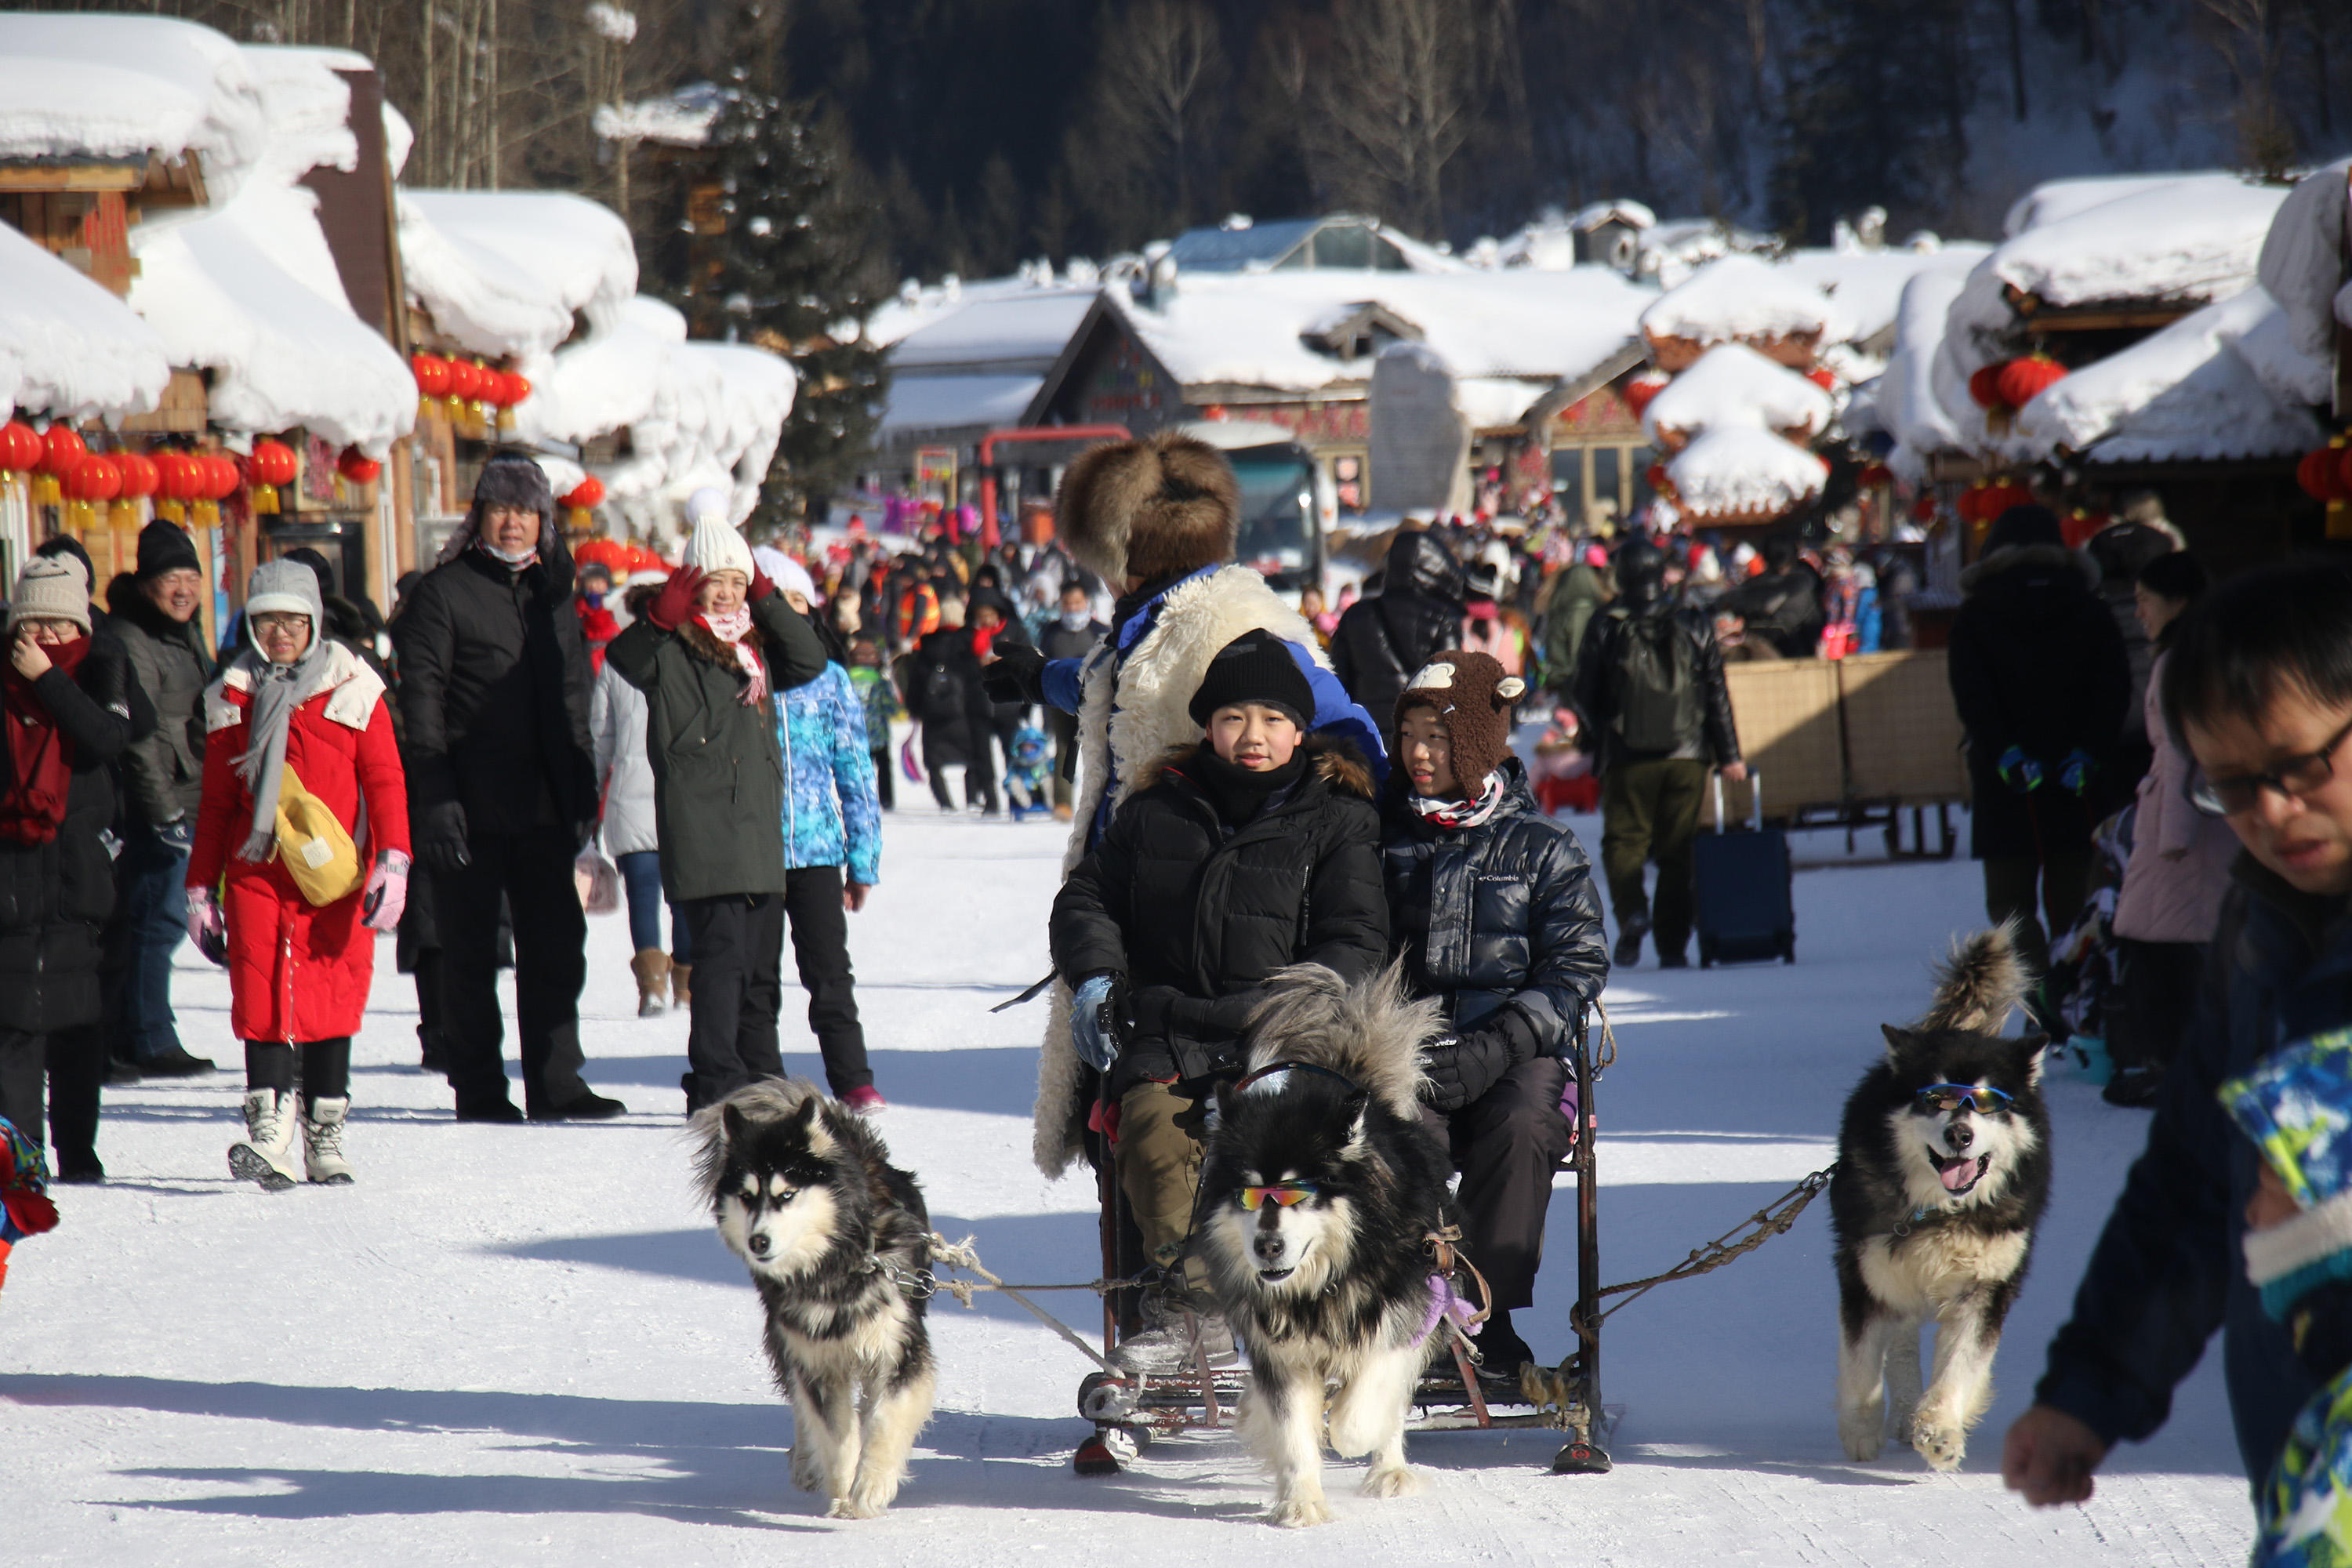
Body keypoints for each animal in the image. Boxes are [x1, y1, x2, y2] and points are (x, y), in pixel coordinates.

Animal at [687, 1086, 936, 1514]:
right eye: (746, 1197)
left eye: (786, 1194)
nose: (758, 1241)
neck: (835, 1268)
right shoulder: (816, 1360)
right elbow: (833, 1433)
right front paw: (841, 1487)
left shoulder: (898, 1348)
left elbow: (884, 1419)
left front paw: (871, 1484)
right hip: (787, 1341)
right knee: (802, 1406)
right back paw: (805, 1461)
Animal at [1204, 964, 1458, 1523]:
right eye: (1248, 1194)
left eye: (1299, 1192)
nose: (1267, 1247)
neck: (1323, 1283)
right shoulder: (1279, 1352)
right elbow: (1291, 1429)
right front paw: (1300, 1501)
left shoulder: (1405, 1314)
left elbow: (1364, 1409)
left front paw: (1345, 1431)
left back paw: (1388, 1469)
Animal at [1825, 921, 2051, 1476]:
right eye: (1935, 1100)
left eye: (1988, 1104)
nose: (1960, 1135)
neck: (1942, 1212)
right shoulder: (1866, 1273)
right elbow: (1862, 1363)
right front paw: (1861, 1430)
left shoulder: (1986, 1285)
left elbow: (1959, 1368)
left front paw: (1940, 1431)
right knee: (1902, 1344)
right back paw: (1902, 1411)